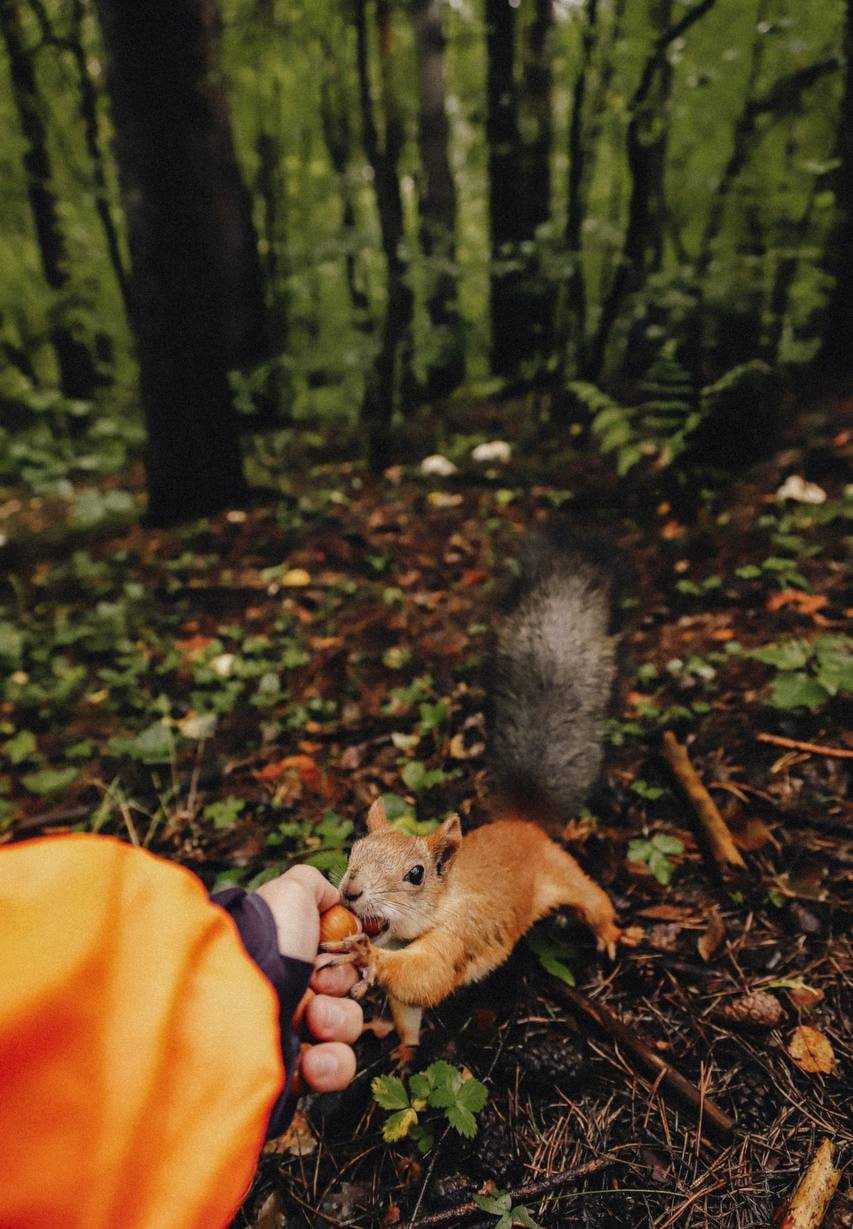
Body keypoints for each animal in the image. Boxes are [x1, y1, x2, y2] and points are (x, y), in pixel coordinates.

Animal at [324, 523, 624, 1052]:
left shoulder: (457, 935)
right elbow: (408, 1009)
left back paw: (607, 930)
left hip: (561, 871)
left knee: (591, 897)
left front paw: (367, 959)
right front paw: (404, 1050)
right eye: (354, 848)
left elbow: (426, 976)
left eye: (417, 874)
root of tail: (521, 824)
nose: (351, 891)